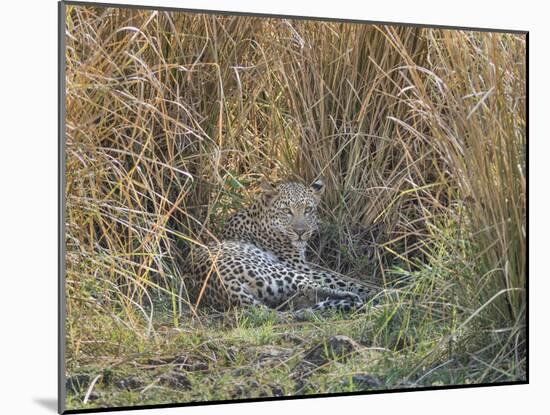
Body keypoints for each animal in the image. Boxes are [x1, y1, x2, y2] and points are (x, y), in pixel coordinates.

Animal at [188, 180, 374, 316]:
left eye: (308, 210)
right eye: (287, 211)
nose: (301, 232)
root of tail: (226, 285)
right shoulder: (303, 268)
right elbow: (343, 280)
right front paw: (372, 290)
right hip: (280, 270)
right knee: (312, 287)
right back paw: (357, 298)